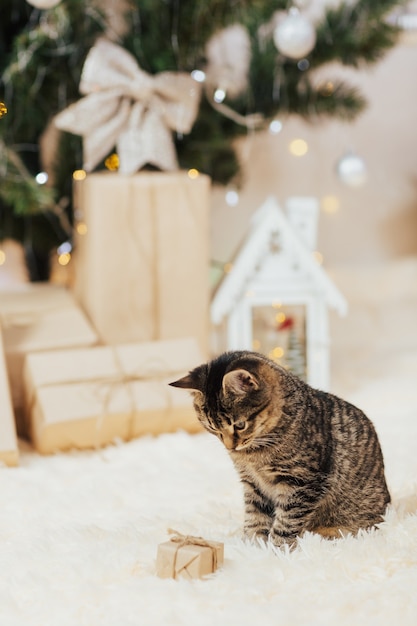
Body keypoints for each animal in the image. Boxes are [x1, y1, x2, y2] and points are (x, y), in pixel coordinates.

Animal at [169, 352, 390, 544]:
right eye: (212, 428)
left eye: (239, 425)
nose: (231, 447)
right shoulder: (252, 483)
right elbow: (255, 516)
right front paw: (252, 546)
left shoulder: (303, 483)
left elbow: (286, 522)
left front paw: (277, 549)